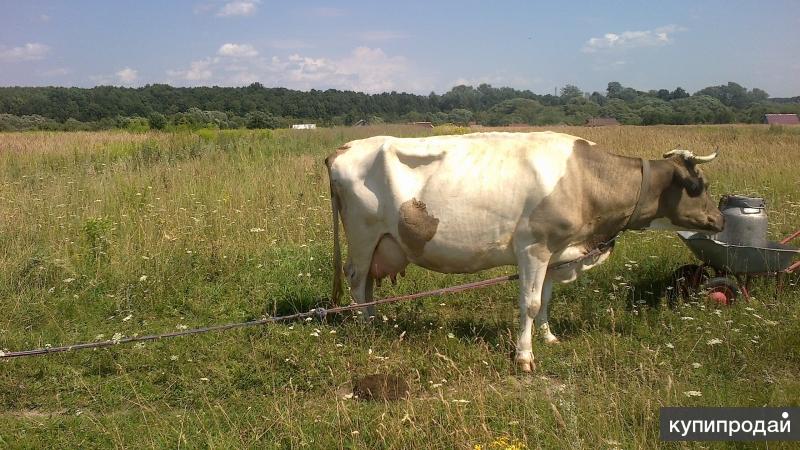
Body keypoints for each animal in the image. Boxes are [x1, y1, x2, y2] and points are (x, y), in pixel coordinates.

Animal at [324, 129, 724, 370]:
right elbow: (529, 303)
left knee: (368, 286)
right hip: (363, 237)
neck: (585, 179)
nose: (719, 219)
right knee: (357, 281)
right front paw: (524, 356)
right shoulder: (533, 247)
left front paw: (548, 337)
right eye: (697, 185)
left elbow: (545, 299)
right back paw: (366, 328)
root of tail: (344, 148)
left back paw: (374, 320)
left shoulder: (554, 253)